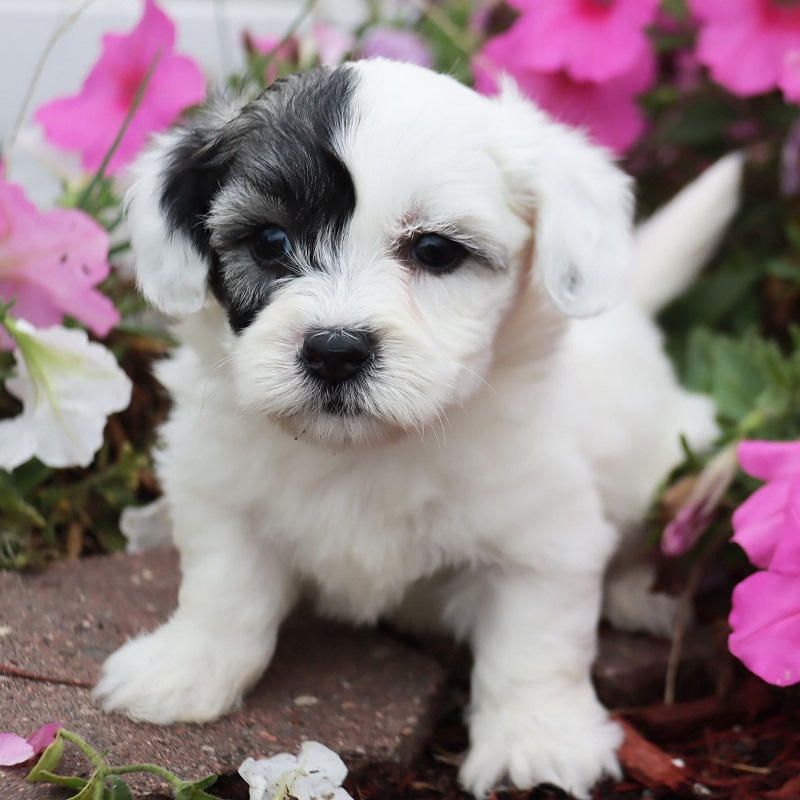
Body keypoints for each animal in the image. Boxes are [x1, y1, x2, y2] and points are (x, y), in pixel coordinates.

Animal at [97, 57, 740, 800]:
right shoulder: (218, 487)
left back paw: (641, 592)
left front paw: (537, 740)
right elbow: (224, 588)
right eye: (270, 241)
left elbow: (534, 641)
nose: (334, 349)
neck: (371, 450)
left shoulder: (544, 536)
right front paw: (187, 668)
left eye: (435, 251)